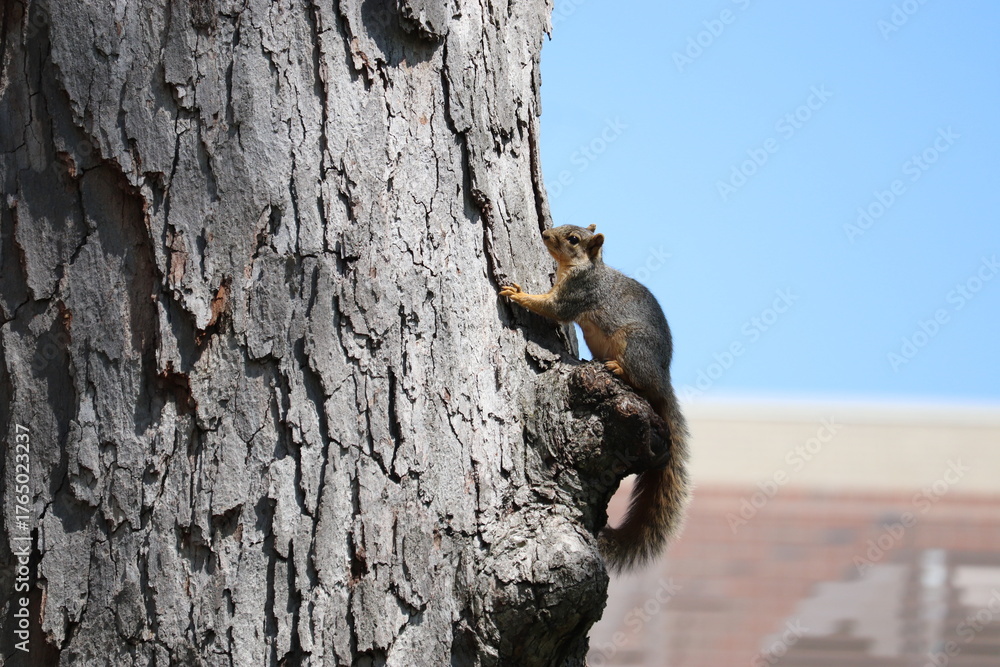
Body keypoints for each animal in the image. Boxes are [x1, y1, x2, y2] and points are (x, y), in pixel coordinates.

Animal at [499, 224, 689, 572]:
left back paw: (617, 368)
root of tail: (663, 380)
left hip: (634, 346)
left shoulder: (578, 294)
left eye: (573, 239)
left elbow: (552, 308)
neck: (580, 268)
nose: (545, 232)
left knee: (641, 381)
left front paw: (518, 294)